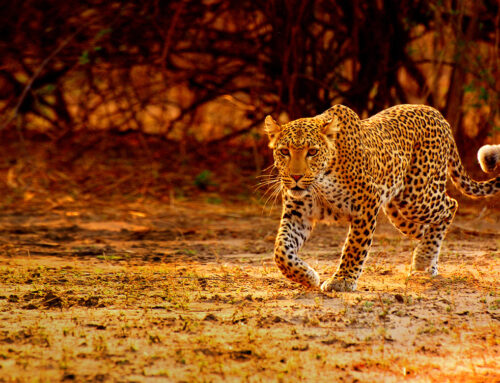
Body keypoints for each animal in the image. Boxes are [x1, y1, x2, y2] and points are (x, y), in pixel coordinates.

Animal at [264, 103, 498, 292]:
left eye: (312, 152)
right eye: (284, 151)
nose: (295, 177)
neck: (321, 182)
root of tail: (438, 115)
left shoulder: (366, 204)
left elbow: (354, 246)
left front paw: (342, 280)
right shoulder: (297, 214)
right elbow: (281, 251)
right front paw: (307, 276)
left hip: (417, 197)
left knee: (450, 205)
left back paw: (423, 259)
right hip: (400, 212)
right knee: (427, 227)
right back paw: (428, 263)